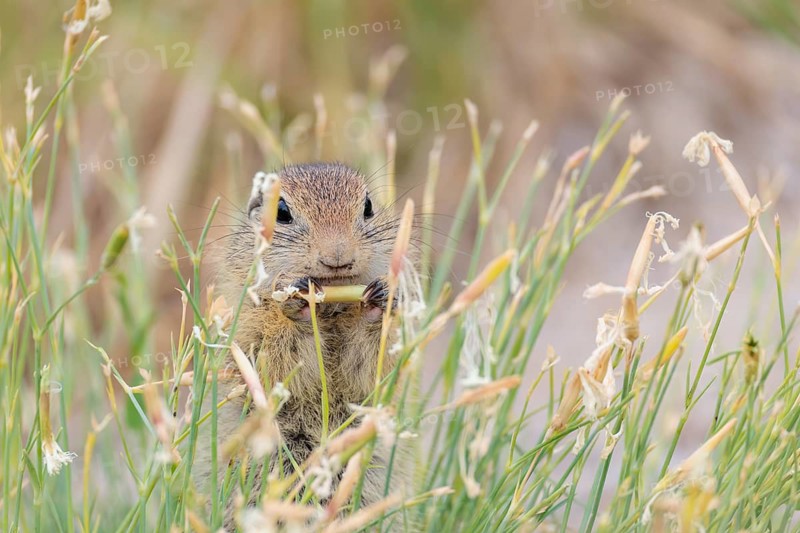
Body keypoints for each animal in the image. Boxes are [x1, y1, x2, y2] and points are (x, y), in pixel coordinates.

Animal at [194, 162, 410, 526]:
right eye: (281, 212)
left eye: (368, 206)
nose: (337, 255)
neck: (331, 311)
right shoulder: (251, 325)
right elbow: (275, 360)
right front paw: (296, 303)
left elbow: (369, 368)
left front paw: (379, 302)